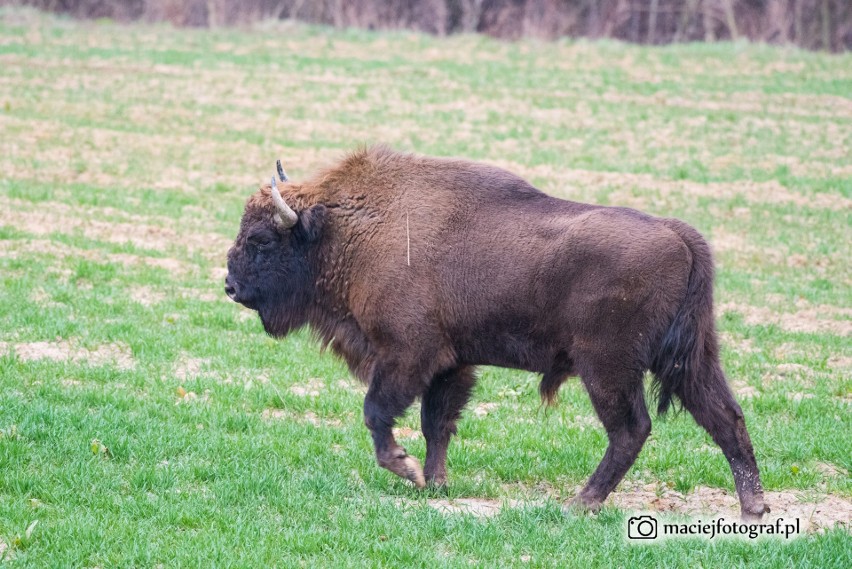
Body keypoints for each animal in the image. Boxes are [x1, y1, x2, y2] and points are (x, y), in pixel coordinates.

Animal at [226, 146, 772, 520]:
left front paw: (405, 468)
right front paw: (435, 483)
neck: (350, 229)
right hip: (690, 359)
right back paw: (753, 507)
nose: (229, 285)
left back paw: (582, 502)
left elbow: (378, 411)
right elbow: (436, 424)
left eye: (261, 240)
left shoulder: (407, 354)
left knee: (631, 429)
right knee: (725, 417)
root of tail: (678, 234)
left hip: (608, 367)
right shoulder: (450, 364)